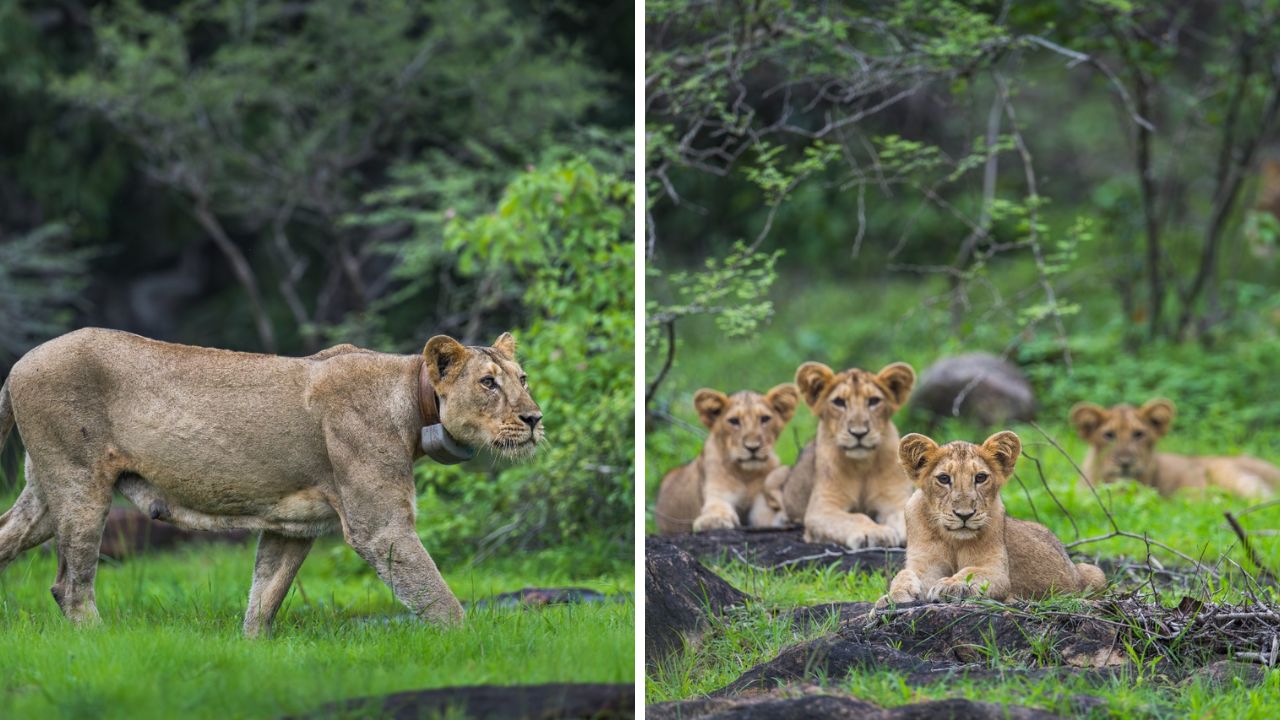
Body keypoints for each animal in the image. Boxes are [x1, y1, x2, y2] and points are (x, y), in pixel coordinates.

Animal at [0, 327, 543, 637]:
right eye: (488, 383)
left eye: (522, 378)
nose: (536, 418)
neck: (411, 400)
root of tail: (19, 362)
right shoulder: (381, 527)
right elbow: (437, 597)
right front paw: (473, 645)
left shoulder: (292, 525)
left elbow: (264, 596)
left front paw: (250, 652)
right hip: (78, 483)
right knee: (70, 586)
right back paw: (102, 644)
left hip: (44, 492)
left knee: (10, 535)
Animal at [655, 384, 800, 534]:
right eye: (734, 421)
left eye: (765, 418)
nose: (753, 447)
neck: (746, 474)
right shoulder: (717, 494)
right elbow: (716, 508)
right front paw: (714, 520)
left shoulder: (761, 503)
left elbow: (768, 516)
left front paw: (786, 518)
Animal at [766, 361, 916, 549]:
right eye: (839, 402)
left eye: (874, 401)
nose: (859, 433)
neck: (862, 465)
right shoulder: (823, 508)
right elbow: (855, 517)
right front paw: (876, 533)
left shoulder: (895, 500)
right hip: (774, 475)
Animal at [878, 431, 1105, 606]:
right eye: (943, 479)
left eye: (980, 477)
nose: (964, 515)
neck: (953, 539)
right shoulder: (925, 564)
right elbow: (904, 574)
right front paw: (892, 596)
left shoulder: (997, 572)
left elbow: (971, 571)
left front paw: (950, 585)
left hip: (1095, 573)